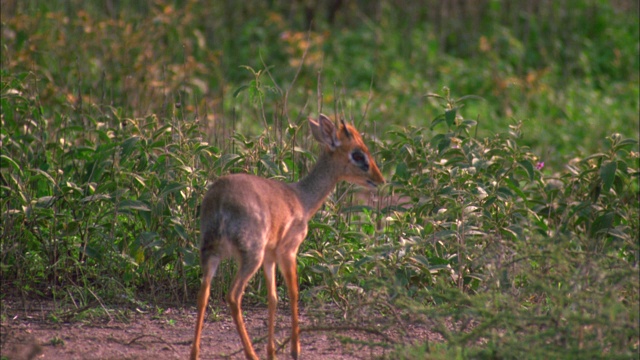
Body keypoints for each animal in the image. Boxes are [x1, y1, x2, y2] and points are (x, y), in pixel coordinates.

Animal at [188, 114, 382, 358]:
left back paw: (195, 353)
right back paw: (251, 354)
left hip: (211, 253)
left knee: (202, 295)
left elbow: (272, 298)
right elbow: (294, 292)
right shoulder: (288, 251)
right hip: (250, 256)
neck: (302, 199)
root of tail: (220, 199)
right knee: (233, 296)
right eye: (358, 154)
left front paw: (272, 351)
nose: (379, 178)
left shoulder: (270, 257)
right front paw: (295, 350)